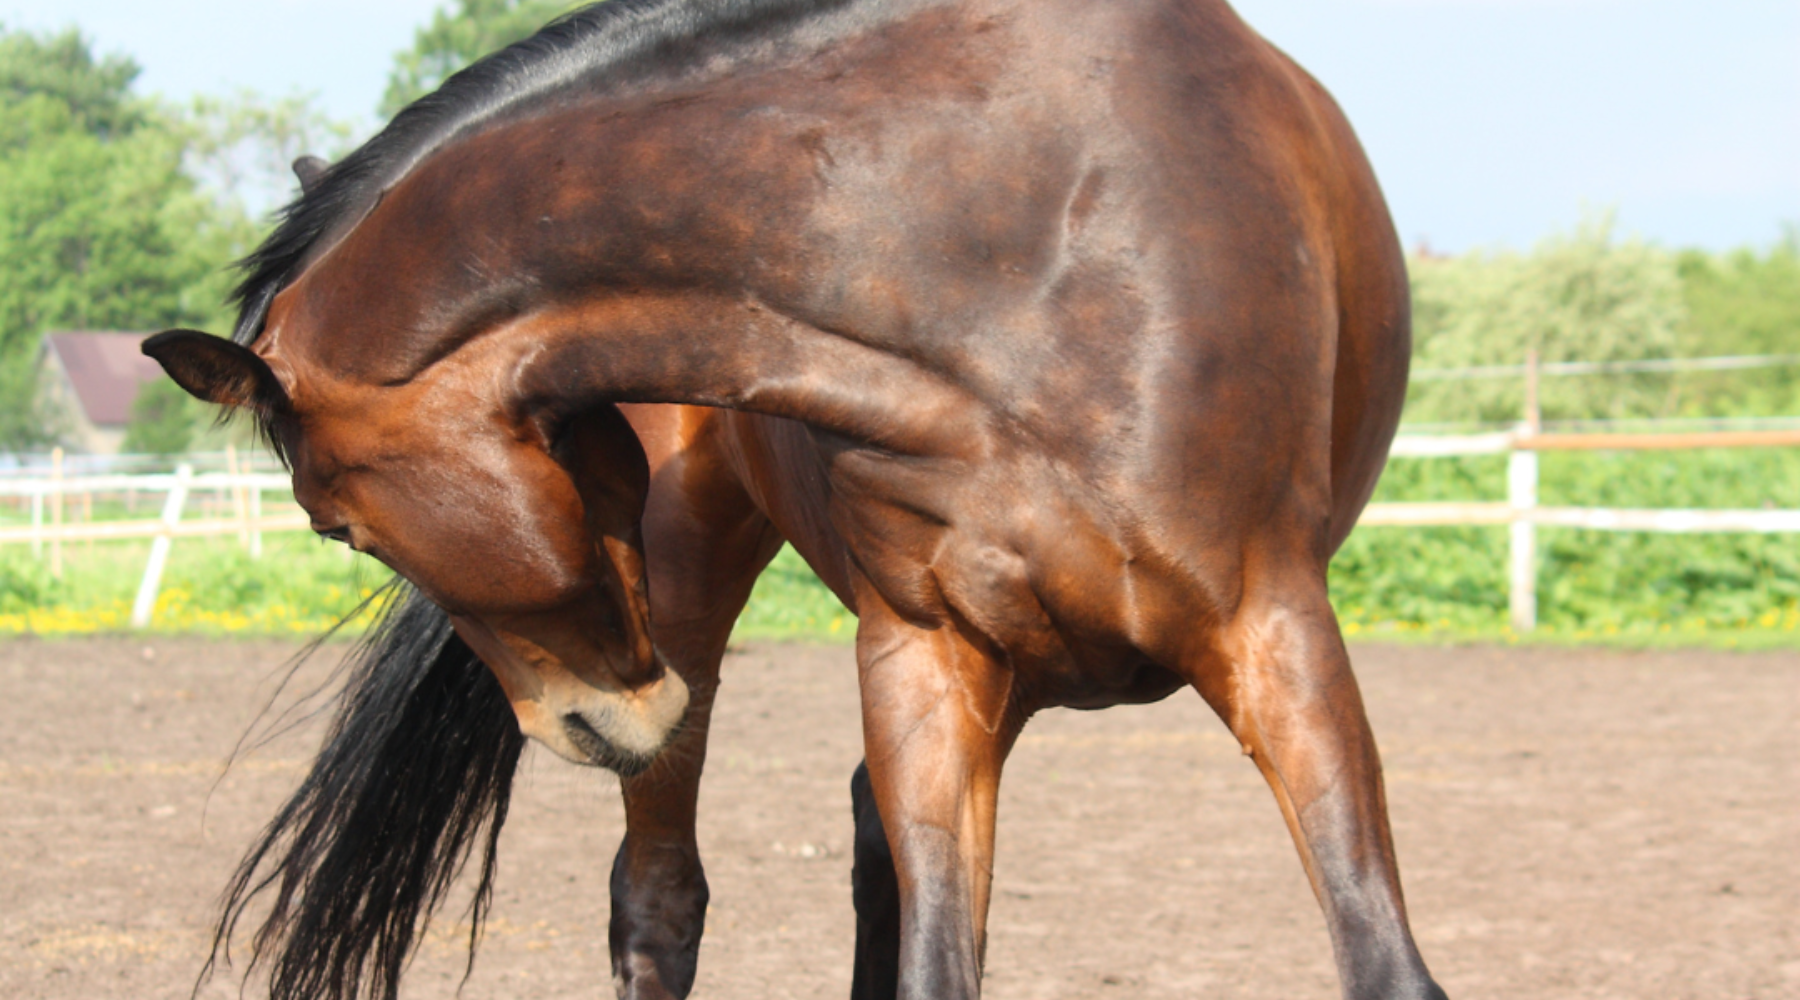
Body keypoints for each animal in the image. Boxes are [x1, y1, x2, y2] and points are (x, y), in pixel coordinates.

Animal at [151, 1, 1447, 1000]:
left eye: (337, 528)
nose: (584, 726)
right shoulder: (926, 654)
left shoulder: (1274, 631)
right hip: (693, 607)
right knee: (662, 900)